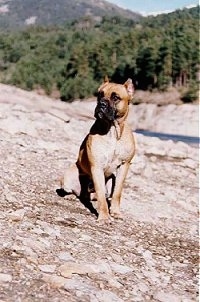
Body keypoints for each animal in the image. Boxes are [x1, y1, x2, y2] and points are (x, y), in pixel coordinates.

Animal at [57, 78, 135, 222]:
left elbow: (117, 192)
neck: (112, 131)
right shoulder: (96, 167)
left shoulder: (124, 166)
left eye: (115, 97)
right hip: (69, 176)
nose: (101, 104)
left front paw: (115, 212)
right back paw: (72, 196)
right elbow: (101, 195)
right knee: (74, 192)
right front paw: (104, 216)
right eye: (100, 95)